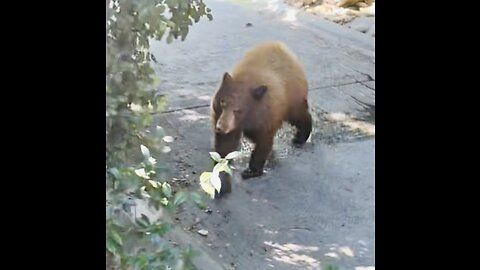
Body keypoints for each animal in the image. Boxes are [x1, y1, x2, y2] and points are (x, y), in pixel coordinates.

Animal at [212, 40, 314, 179]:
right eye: (223, 102)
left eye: (238, 110)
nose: (220, 127)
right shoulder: (224, 118)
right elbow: (226, 142)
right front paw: (222, 162)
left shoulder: (266, 115)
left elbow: (263, 141)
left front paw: (252, 171)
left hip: (292, 98)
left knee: (299, 116)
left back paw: (300, 138)